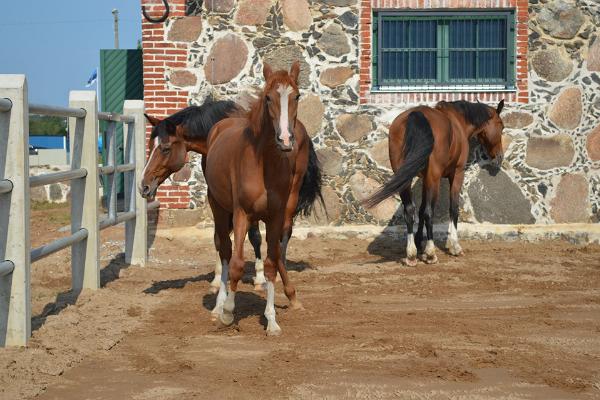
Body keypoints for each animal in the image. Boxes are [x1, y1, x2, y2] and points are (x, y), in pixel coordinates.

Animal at [142, 98, 324, 296]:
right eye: (150, 146)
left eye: (165, 149)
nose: (144, 186)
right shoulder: (219, 195)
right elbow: (219, 238)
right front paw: (217, 280)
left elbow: (254, 236)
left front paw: (259, 278)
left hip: (291, 192)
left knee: (285, 230)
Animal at [206, 61, 314, 334]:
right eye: (268, 97)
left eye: (297, 95)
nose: (285, 139)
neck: (264, 164)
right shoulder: (242, 214)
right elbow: (236, 264)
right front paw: (228, 313)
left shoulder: (275, 217)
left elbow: (271, 264)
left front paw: (272, 321)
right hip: (219, 209)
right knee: (225, 251)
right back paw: (218, 306)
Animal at [364, 99, 504, 266]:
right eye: (501, 126)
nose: (500, 156)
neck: (458, 121)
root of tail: (416, 114)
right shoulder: (457, 174)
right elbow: (453, 208)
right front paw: (454, 246)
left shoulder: (425, 179)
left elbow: (420, 209)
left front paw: (419, 242)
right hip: (434, 177)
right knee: (429, 212)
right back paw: (431, 253)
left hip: (407, 178)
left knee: (410, 210)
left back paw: (411, 254)